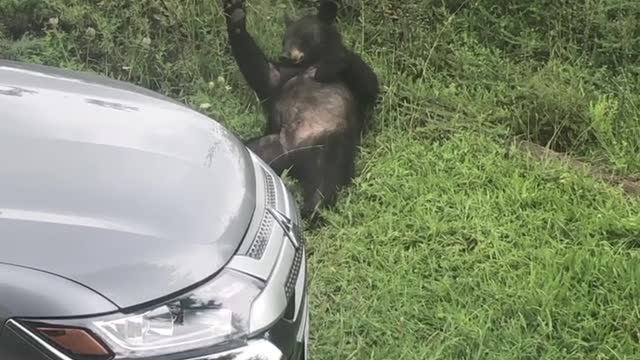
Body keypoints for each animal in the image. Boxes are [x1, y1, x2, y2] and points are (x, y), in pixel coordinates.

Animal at [221, 0, 378, 219]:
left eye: (304, 36)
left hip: (328, 142)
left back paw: (312, 207)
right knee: (252, 150)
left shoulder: (351, 85)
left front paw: (332, 63)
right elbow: (265, 74)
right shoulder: (285, 75)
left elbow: (369, 84)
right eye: (284, 39)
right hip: (272, 144)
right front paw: (235, 14)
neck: (308, 63)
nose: (285, 55)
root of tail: (294, 158)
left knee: (325, 178)